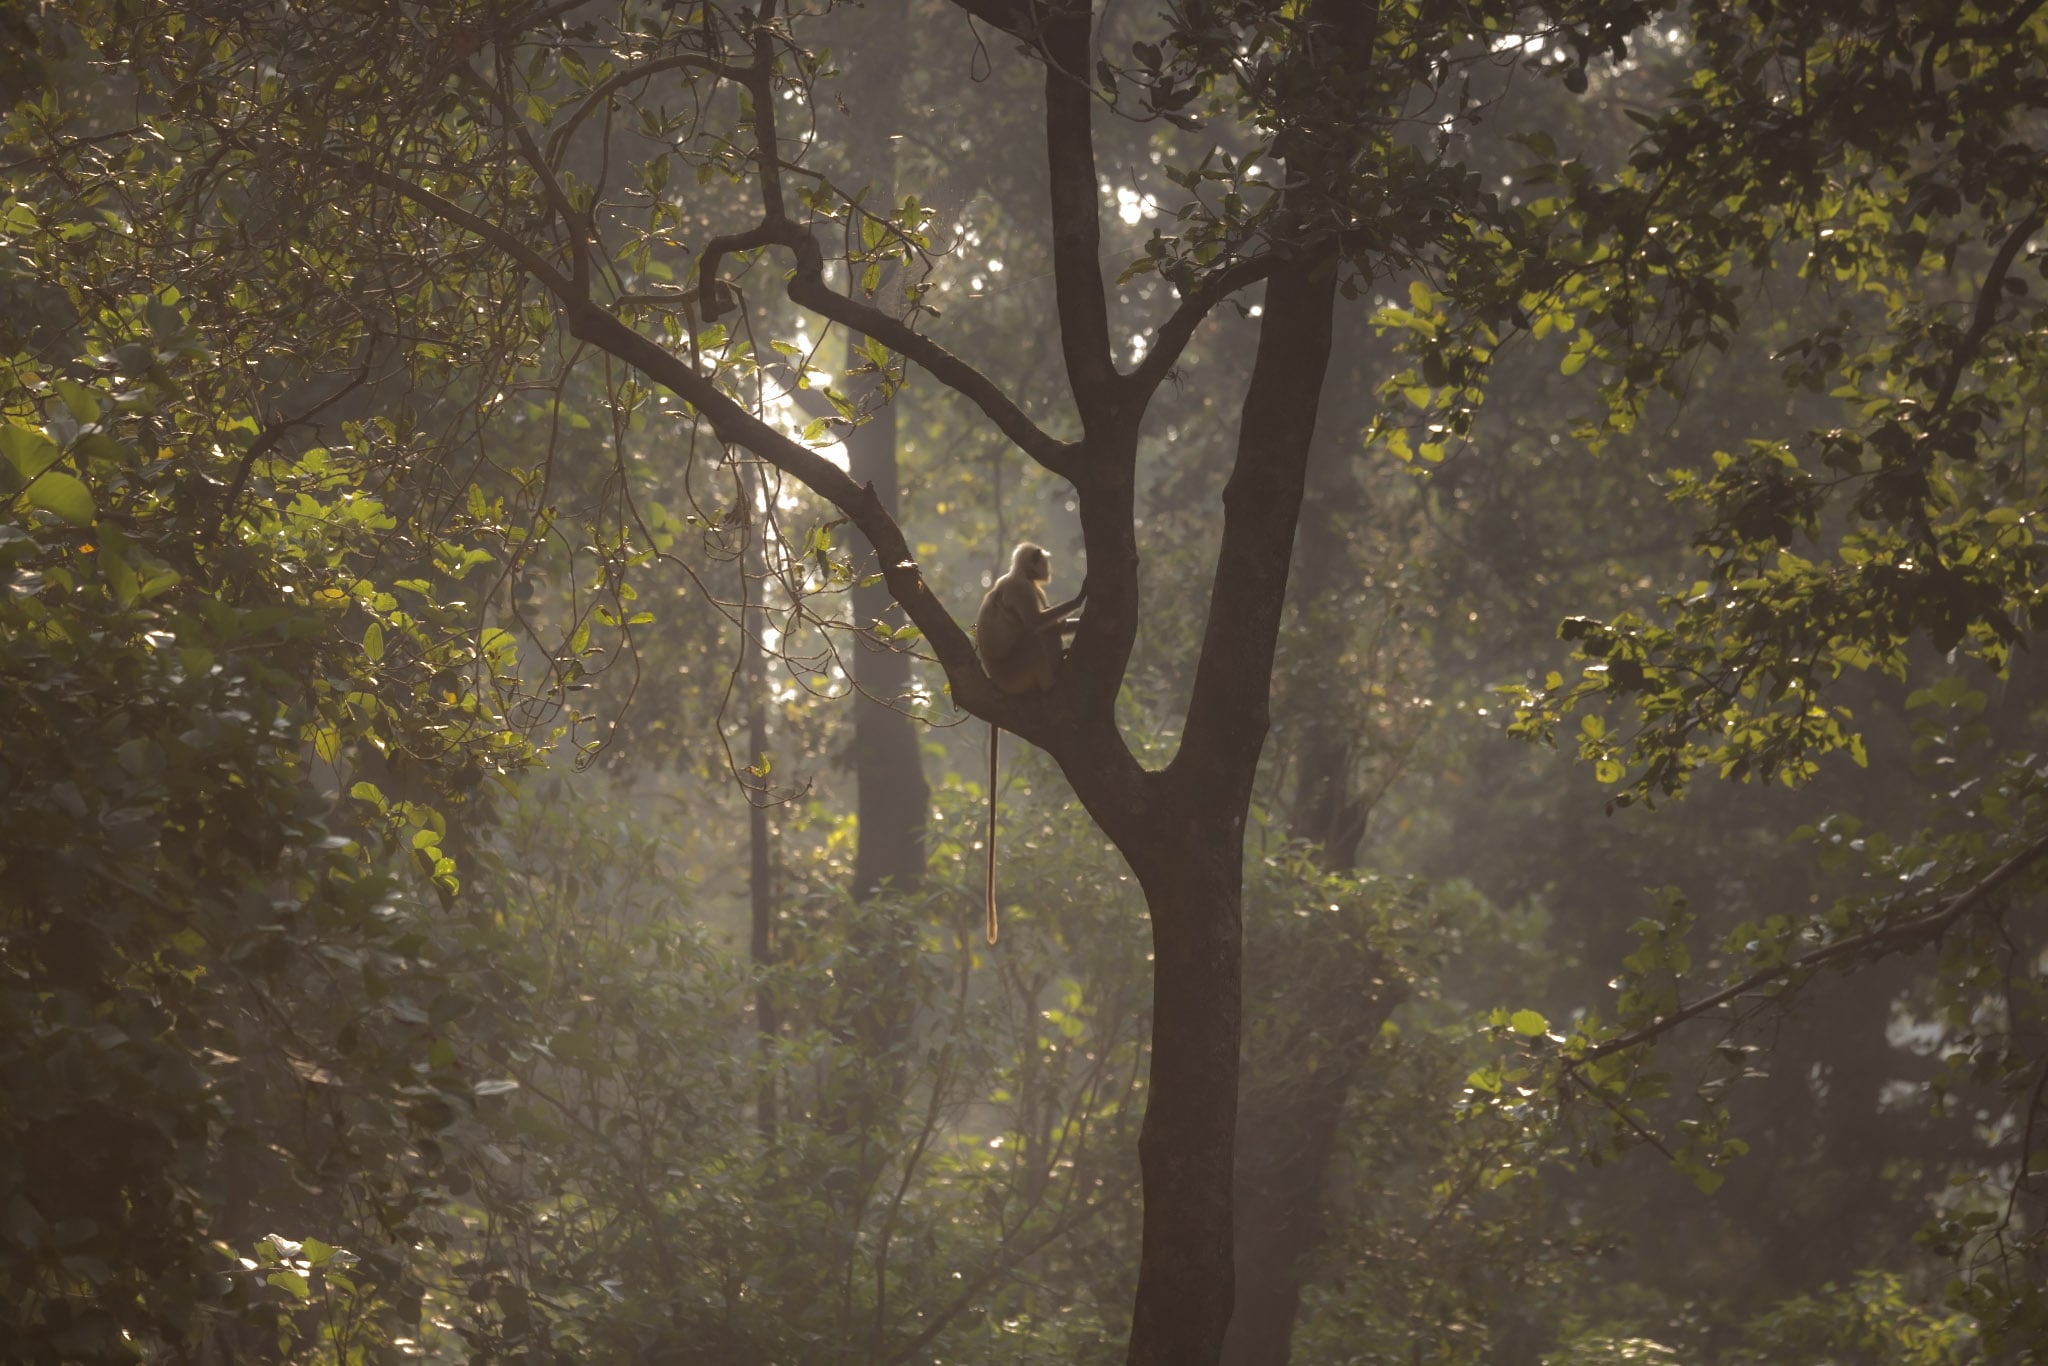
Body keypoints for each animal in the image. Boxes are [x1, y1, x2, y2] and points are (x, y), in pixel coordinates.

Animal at [974, 542, 1085, 945]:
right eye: (1043, 560)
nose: (1048, 568)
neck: (1017, 575)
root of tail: (994, 679)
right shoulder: (1023, 589)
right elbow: (1037, 624)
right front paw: (1082, 595)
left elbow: (1050, 624)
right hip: (1019, 670)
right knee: (1035, 637)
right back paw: (1052, 679)